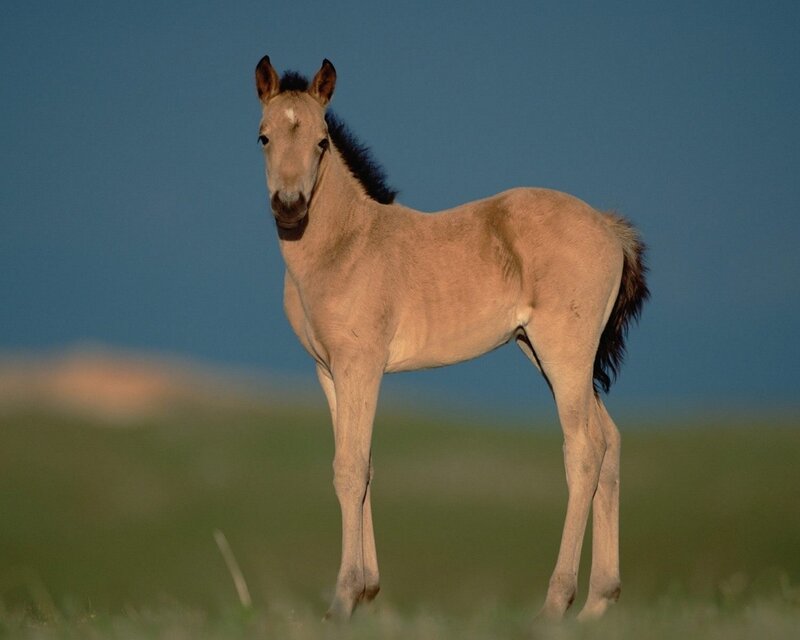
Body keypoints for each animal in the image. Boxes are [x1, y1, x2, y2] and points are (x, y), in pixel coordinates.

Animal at [253, 56, 648, 622]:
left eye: (321, 141)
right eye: (262, 137)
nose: (289, 206)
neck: (347, 244)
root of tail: (610, 228)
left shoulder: (361, 364)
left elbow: (349, 467)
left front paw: (343, 599)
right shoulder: (328, 371)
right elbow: (361, 464)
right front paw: (367, 592)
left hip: (564, 352)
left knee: (585, 450)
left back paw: (555, 604)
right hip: (544, 353)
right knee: (610, 441)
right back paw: (598, 602)